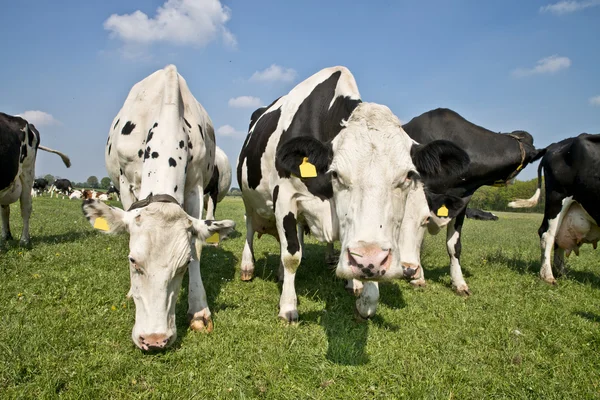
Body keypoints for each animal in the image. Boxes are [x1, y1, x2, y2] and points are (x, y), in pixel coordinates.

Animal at [81, 65, 236, 350]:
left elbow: (196, 245)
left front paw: (199, 309)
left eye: (183, 266)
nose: (154, 340)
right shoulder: (125, 184)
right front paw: (131, 290)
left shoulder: (196, 187)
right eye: (133, 262)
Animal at [237, 66, 472, 322]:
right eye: (336, 174)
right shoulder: (285, 197)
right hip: (248, 199)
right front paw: (288, 307)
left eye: (408, 175)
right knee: (250, 227)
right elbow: (291, 255)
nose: (370, 259)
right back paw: (247, 267)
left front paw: (364, 299)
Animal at [506, 133, 600, 282]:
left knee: (557, 237)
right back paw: (547, 276)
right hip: (557, 198)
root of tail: (555, 145)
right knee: (547, 234)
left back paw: (561, 272)